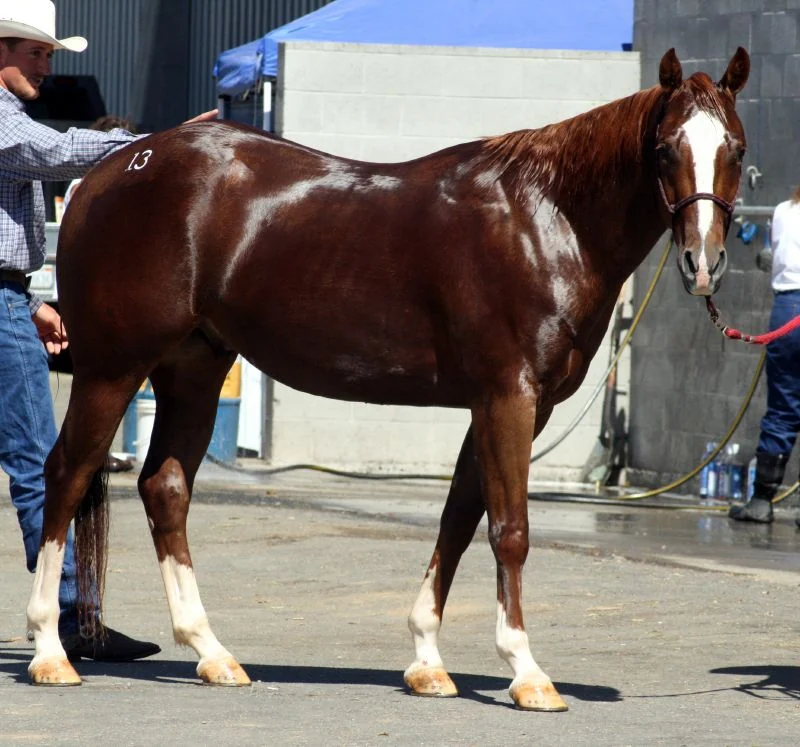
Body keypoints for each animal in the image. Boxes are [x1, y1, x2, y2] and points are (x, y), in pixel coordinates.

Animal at [26, 47, 749, 710]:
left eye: (736, 149)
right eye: (664, 150)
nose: (703, 261)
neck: (543, 219)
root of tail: (105, 174)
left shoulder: (504, 405)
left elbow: (458, 519)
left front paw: (427, 659)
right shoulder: (508, 397)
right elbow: (508, 528)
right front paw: (526, 671)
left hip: (194, 368)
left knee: (166, 488)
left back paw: (211, 652)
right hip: (113, 367)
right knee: (65, 474)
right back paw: (49, 652)